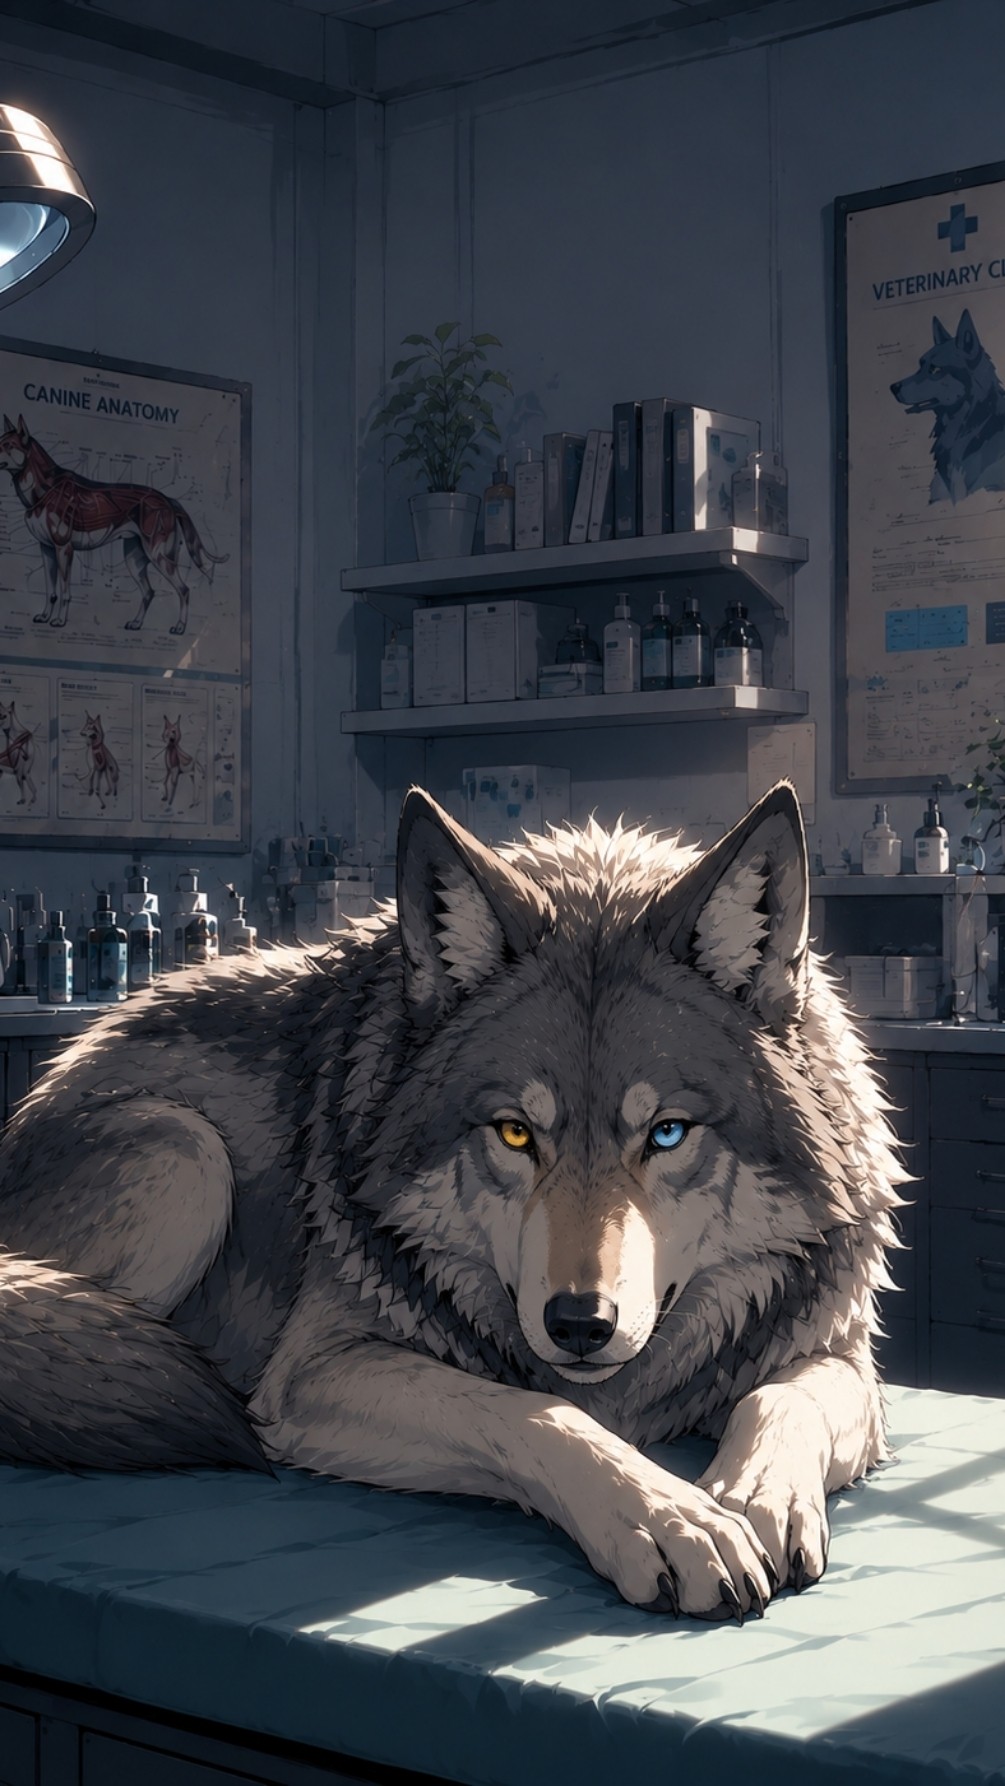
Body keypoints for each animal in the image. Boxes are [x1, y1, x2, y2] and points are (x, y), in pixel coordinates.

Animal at [0, 784, 907, 1621]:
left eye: (667, 1133)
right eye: (513, 1132)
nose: (579, 1324)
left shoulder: (839, 1358)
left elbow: (775, 1399)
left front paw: (751, 1497)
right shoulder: (314, 1371)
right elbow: (530, 1409)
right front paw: (669, 1518)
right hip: (185, 1158)